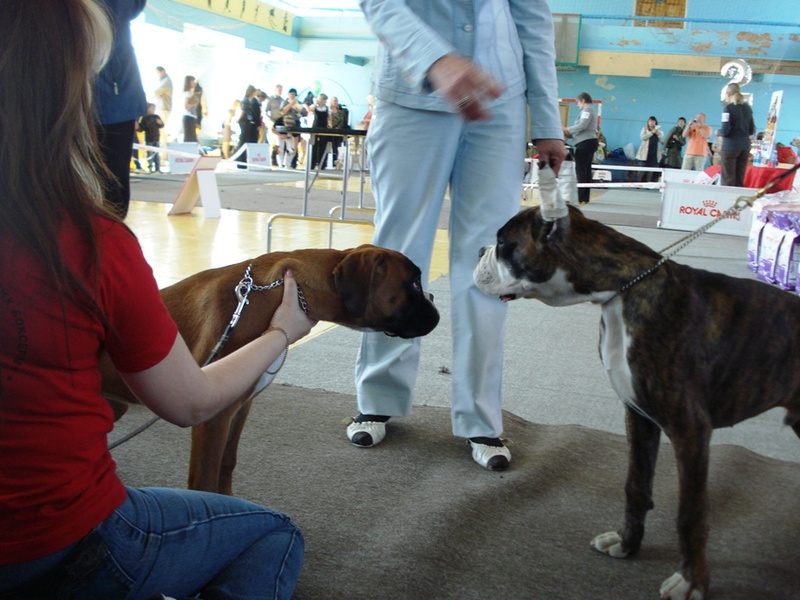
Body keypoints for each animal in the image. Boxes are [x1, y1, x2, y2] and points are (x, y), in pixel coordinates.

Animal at [102, 244, 439, 495]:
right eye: (413, 283)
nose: (435, 299)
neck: (285, 291)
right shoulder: (214, 418)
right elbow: (204, 480)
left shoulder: (240, 408)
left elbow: (227, 464)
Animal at [474, 205, 800, 599]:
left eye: (503, 243)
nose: (478, 250)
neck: (623, 290)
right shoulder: (639, 417)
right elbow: (636, 485)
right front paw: (627, 543)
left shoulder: (690, 431)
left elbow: (690, 512)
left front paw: (691, 580)